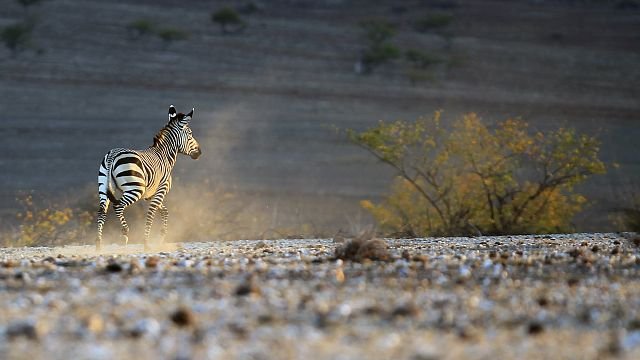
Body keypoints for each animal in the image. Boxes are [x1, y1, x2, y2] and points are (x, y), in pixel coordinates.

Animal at [96, 105, 201, 250]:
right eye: (190, 134)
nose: (199, 152)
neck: (164, 155)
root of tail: (112, 154)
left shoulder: (150, 195)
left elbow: (164, 212)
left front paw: (162, 237)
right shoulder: (160, 190)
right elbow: (151, 215)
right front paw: (146, 243)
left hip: (103, 187)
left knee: (101, 211)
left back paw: (98, 245)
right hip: (135, 189)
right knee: (118, 206)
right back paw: (124, 234)